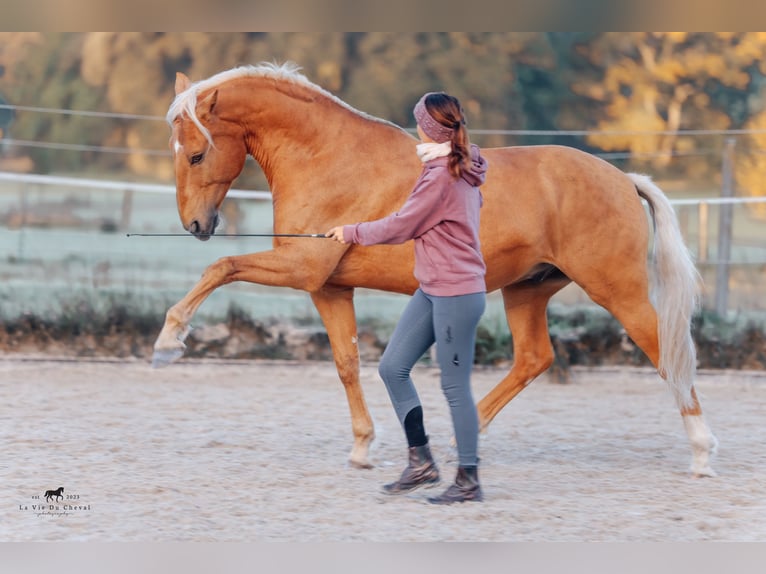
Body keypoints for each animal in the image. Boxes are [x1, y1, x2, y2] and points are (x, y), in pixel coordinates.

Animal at [153, 62, 718, 477]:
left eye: (197, 154)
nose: (196, 224)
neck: (326, 156)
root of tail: (623, 179)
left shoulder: (300, 267)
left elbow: (221, 267)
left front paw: (169, 341)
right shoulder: (329, 288)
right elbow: (347, 364)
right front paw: (362, 448)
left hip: (618, 291)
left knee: (666, 354)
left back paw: (701, 453)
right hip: (526, 290)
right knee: (534, 358)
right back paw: (459, 438)